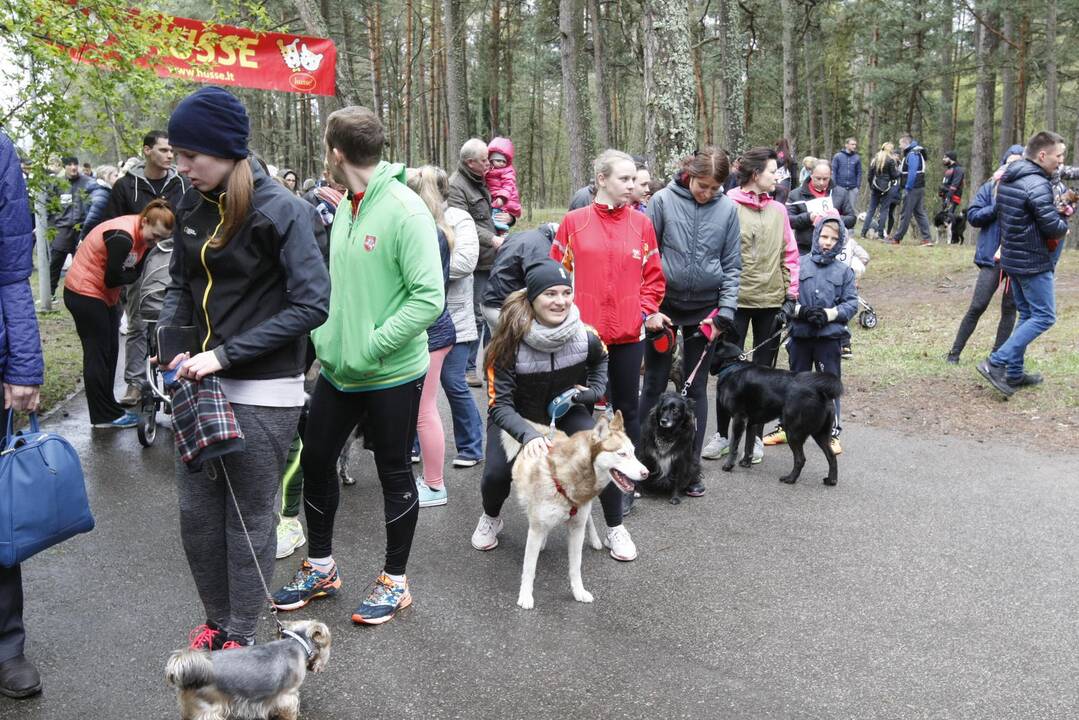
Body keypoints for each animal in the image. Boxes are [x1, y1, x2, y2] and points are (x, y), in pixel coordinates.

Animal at [504, 410, 647, 608]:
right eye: (622, 454)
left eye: (633, 453)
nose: (646, 473)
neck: (563, 479)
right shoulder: (536, 528)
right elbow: (529, 568)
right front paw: (525, 596)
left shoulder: (577, 528)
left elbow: (575, 566)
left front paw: (579, 592)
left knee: (590, 519)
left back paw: (594, 540)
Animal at [712, 343, 845, 487]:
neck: (733, 365)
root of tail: (819, 391)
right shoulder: (751, 423)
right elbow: (749, 445)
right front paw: (746, 463)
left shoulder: (739, 419)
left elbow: (734, 446)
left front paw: (728, 465)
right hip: (821, 434)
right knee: (831, 456)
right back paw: (831, 480)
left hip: (793, 432)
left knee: (800, 459)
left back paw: (790, 479)